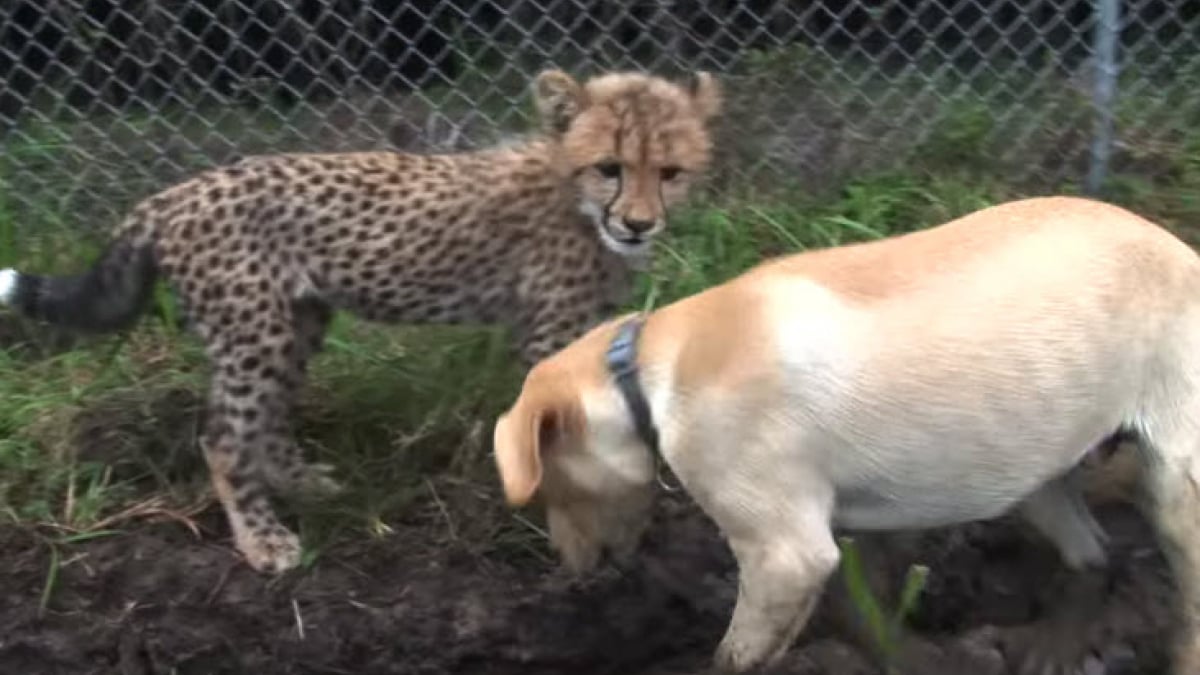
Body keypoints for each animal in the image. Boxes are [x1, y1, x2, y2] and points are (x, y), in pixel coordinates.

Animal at [492, 195, 1200, 672]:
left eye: (551, 488)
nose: (571, 571)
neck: (645, 373)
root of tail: (1180, 248)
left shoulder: (784, 551)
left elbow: (734, 654)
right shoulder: (842, 536)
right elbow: (865, 616)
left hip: (1173, 481)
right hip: (1036, 464)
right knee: (1093, 556)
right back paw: (1055, 648)